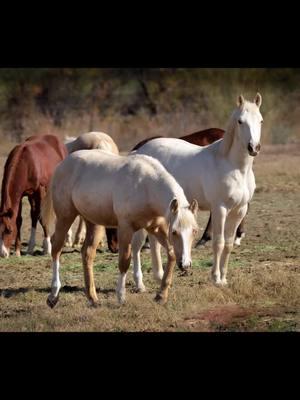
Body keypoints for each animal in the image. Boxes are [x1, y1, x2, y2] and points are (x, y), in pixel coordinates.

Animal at [41, 150, 198, 306]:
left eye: (194, 231)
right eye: (174, 232)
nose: (185, 265)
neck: (146, 186)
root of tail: (63, 164)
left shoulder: (156, 228)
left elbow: (171, 254)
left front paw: (161, 295)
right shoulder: (125, 229)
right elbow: (124, 262)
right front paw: (121, 297)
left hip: (94, 224)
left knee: (87, 253)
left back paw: (93, 298)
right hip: (65, 217)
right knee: (56, 249)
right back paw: (53, 295)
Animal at [133, 93, 262, 288]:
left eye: (260, 120)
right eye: (240, 121)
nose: (253, 147)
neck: (233, 167)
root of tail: (141, 150)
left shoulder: (239, 210)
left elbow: (229, 244)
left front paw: (224, 278)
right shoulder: (220, 209)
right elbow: (219, 242)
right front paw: (216, 278)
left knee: (154, 241)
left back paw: (159, 275)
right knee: (138, 243)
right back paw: (140, 282)